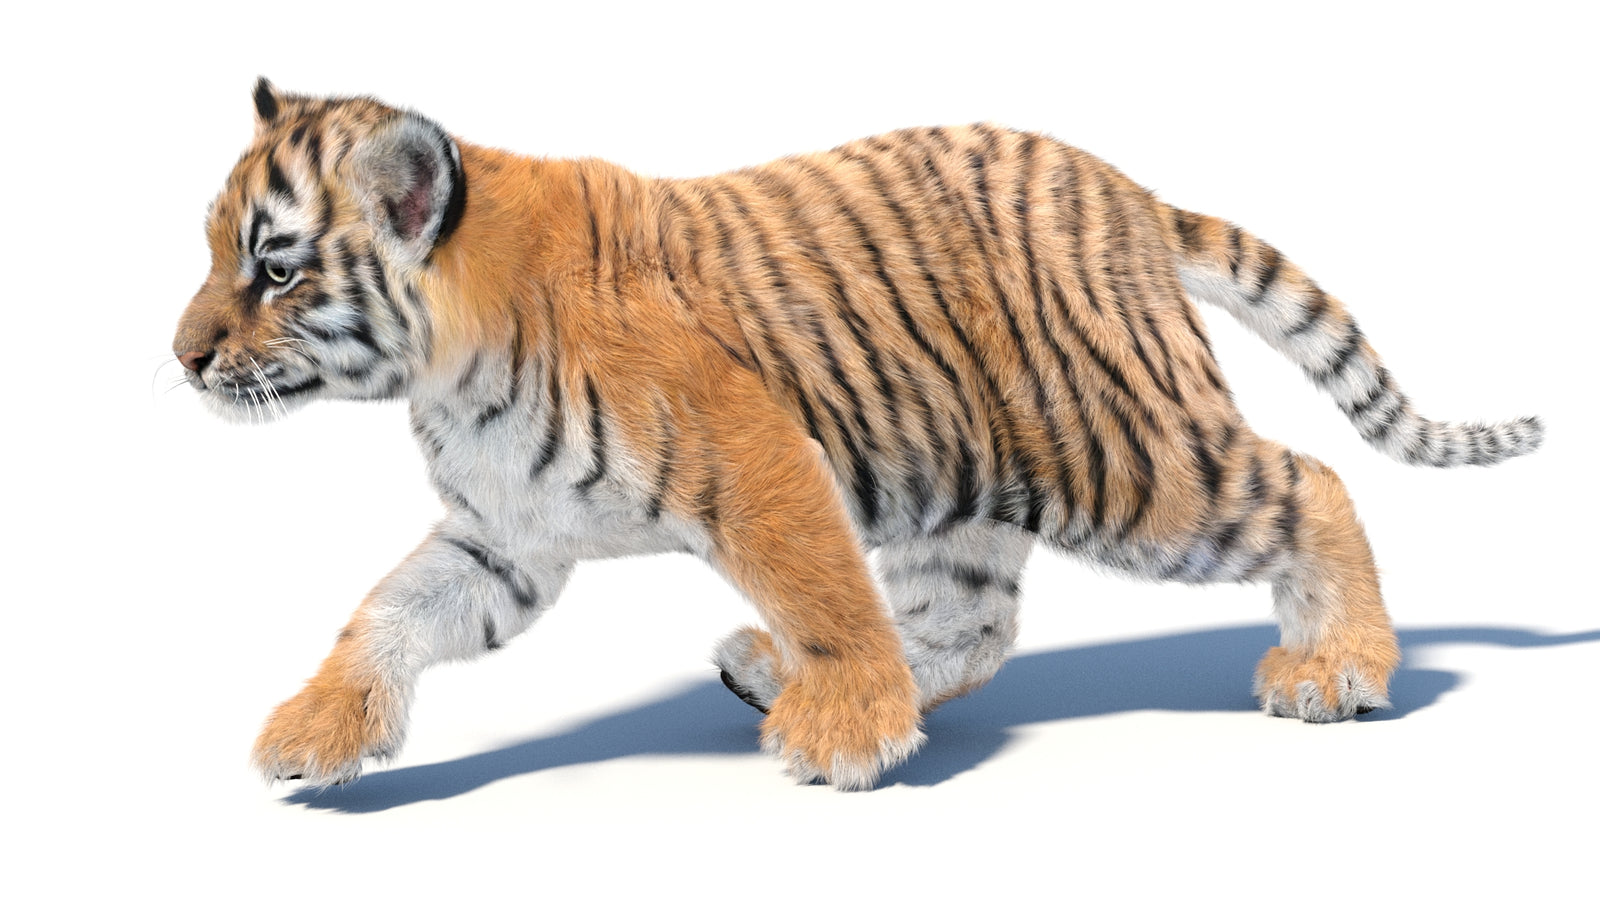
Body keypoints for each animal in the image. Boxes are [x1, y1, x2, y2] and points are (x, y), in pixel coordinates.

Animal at [173, 78, 1543, 791]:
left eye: (275, 269)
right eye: (216, 249)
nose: (182, 356)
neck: (446, 363)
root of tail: (1121, 191)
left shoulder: (755, 451)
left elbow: (820, 584)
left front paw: (843, 735)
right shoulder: (507, 535)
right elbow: (390, 613)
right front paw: (314, 733)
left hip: (1127, 461)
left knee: (1312, 482)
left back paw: (1337, 669)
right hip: (970, 491)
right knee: (973, 625)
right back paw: (774, 671)